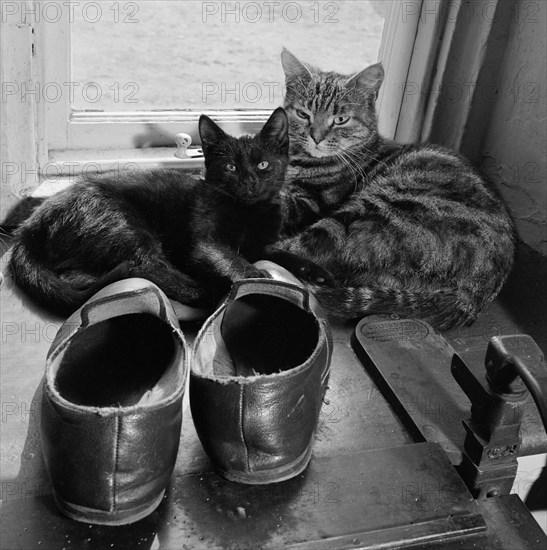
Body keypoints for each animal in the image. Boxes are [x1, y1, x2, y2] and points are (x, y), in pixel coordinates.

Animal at [276, 49, 516, 330]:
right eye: (303, 114)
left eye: (340, 120)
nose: (316, 137)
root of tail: (474, 293)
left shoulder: (311, 201)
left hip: (370, 211)